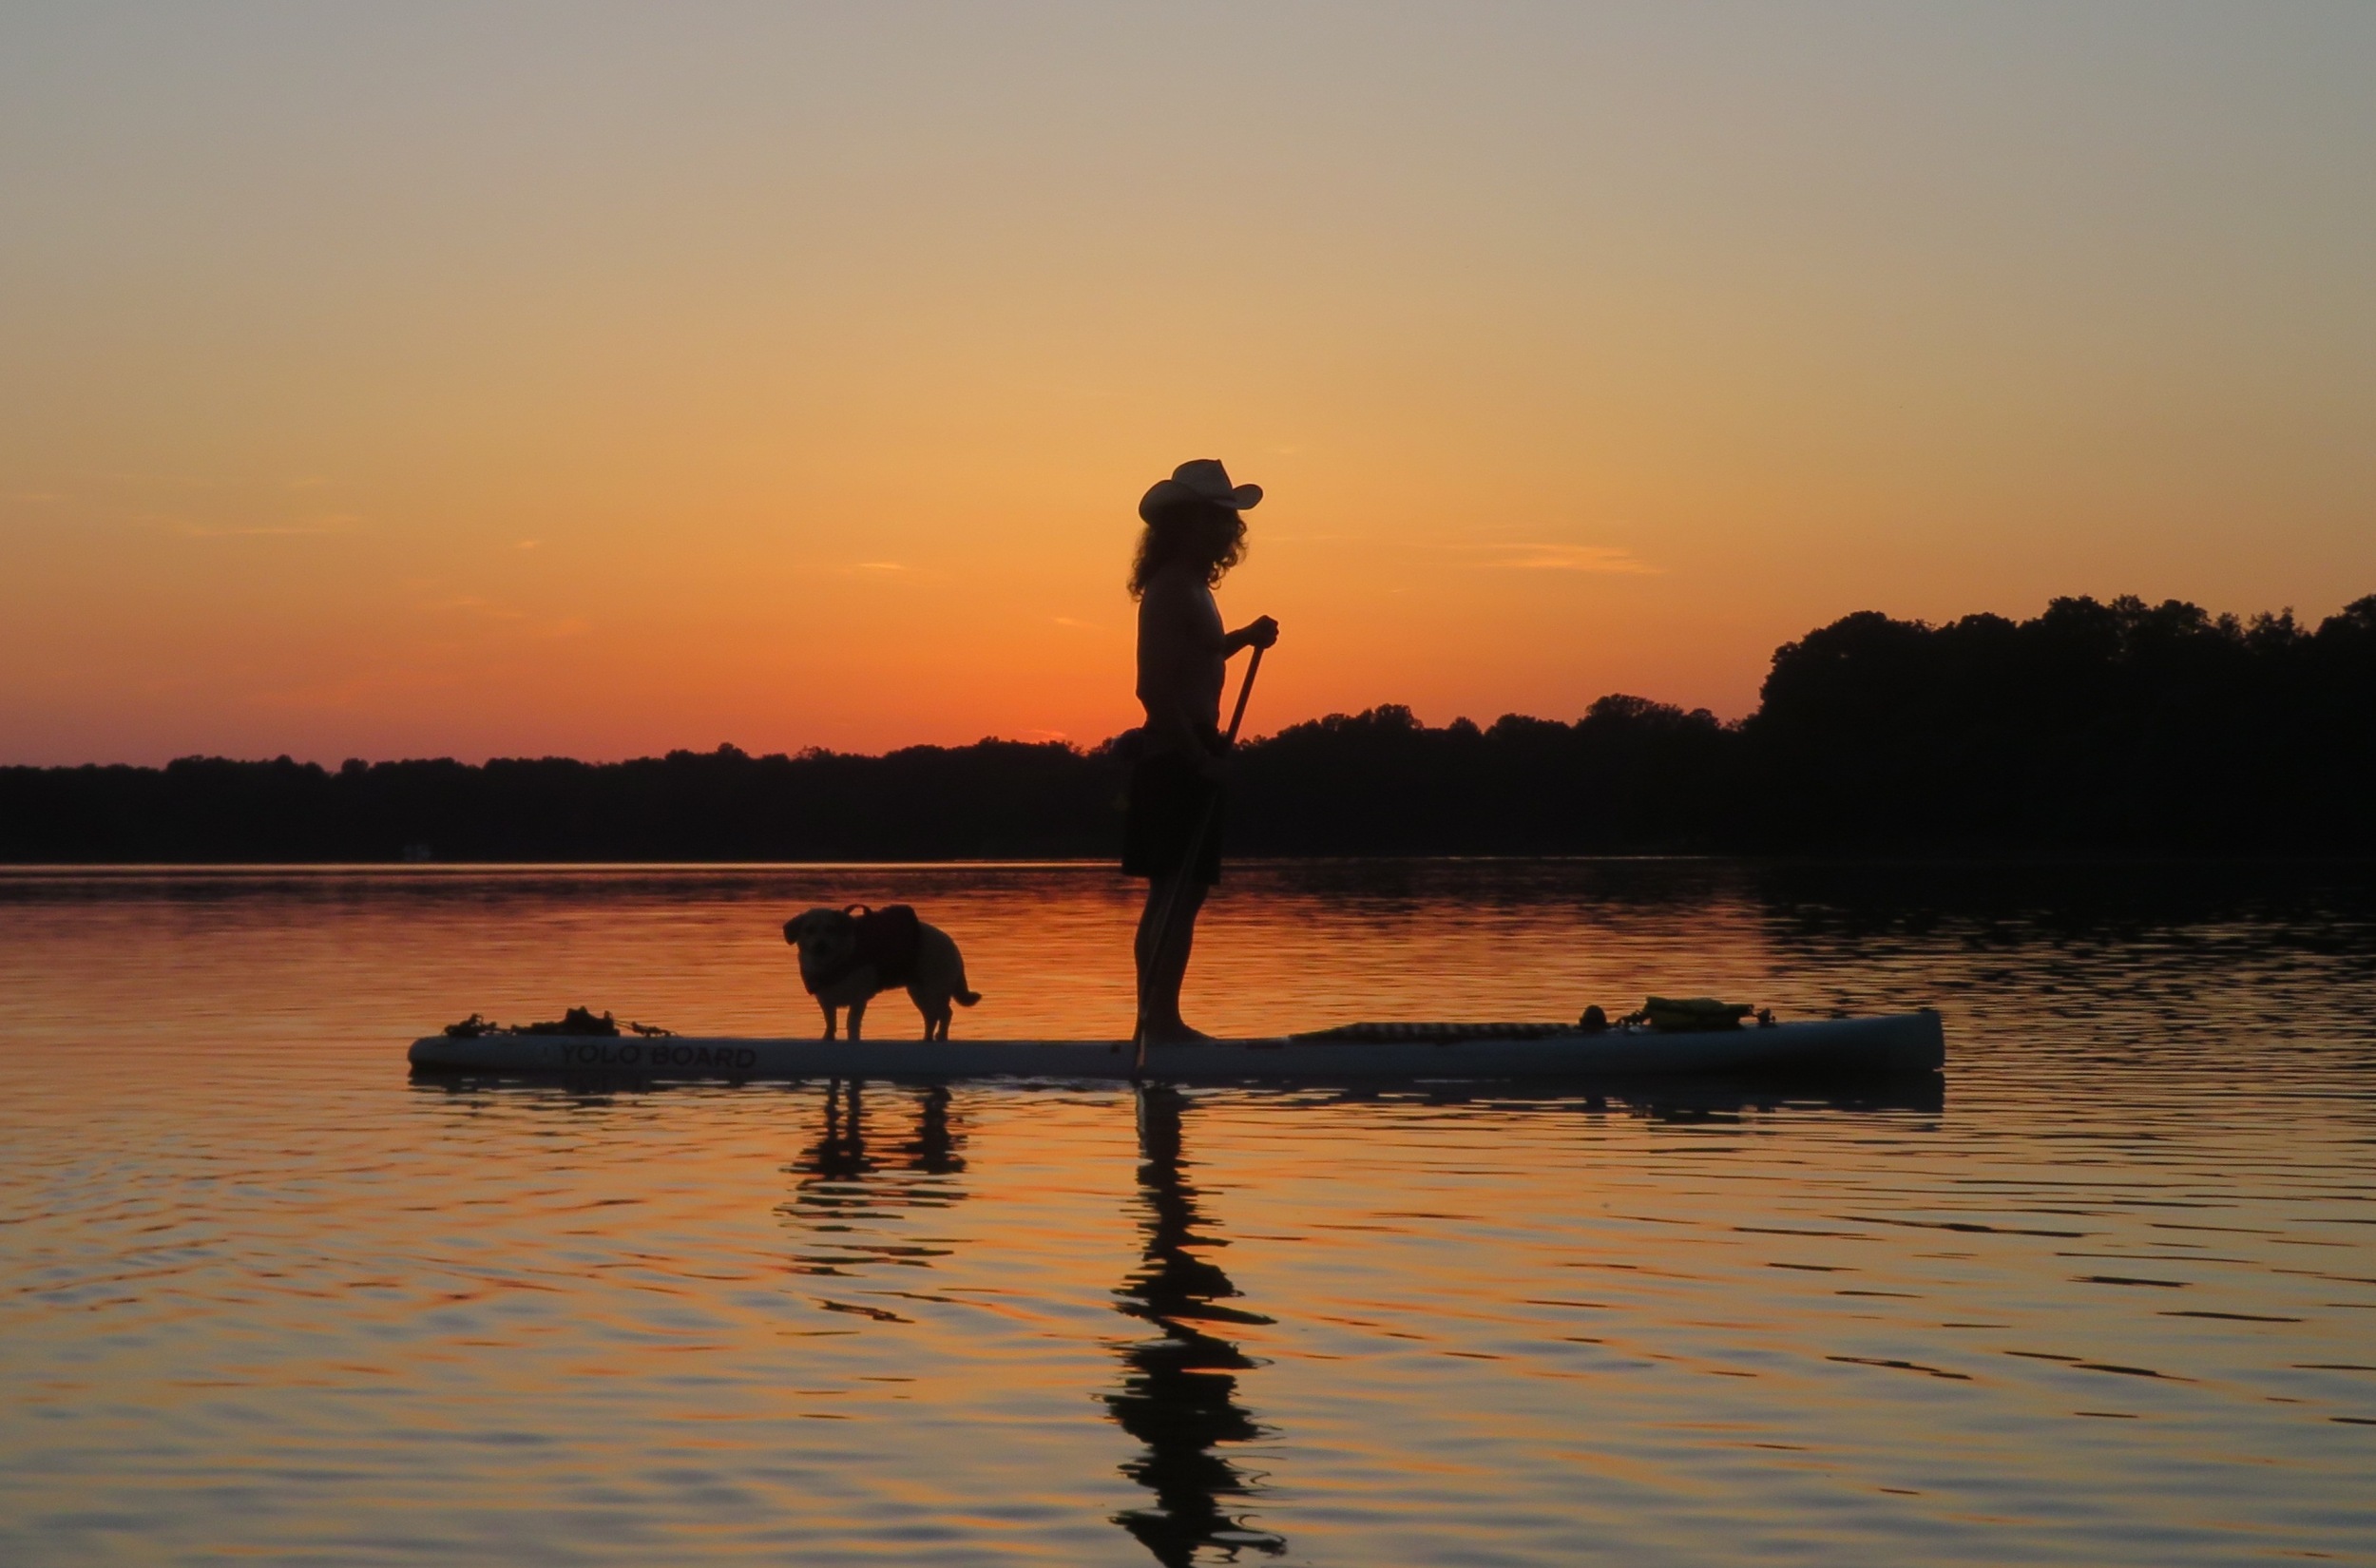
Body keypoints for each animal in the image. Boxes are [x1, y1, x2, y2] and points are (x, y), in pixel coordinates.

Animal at [784, 908, 979, 1041]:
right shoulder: (826, 1001)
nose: (820, 945)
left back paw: (941, 1036)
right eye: (809, 930)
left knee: (946, 1013)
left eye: (831, 929)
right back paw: (927, 1038)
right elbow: (830, 1023)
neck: (835, 962)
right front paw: (828, 1038)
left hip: (936, 989)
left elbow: (852, 1024)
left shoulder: (858, 1000)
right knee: (931, 1016)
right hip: (919, 992)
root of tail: (952, 945)